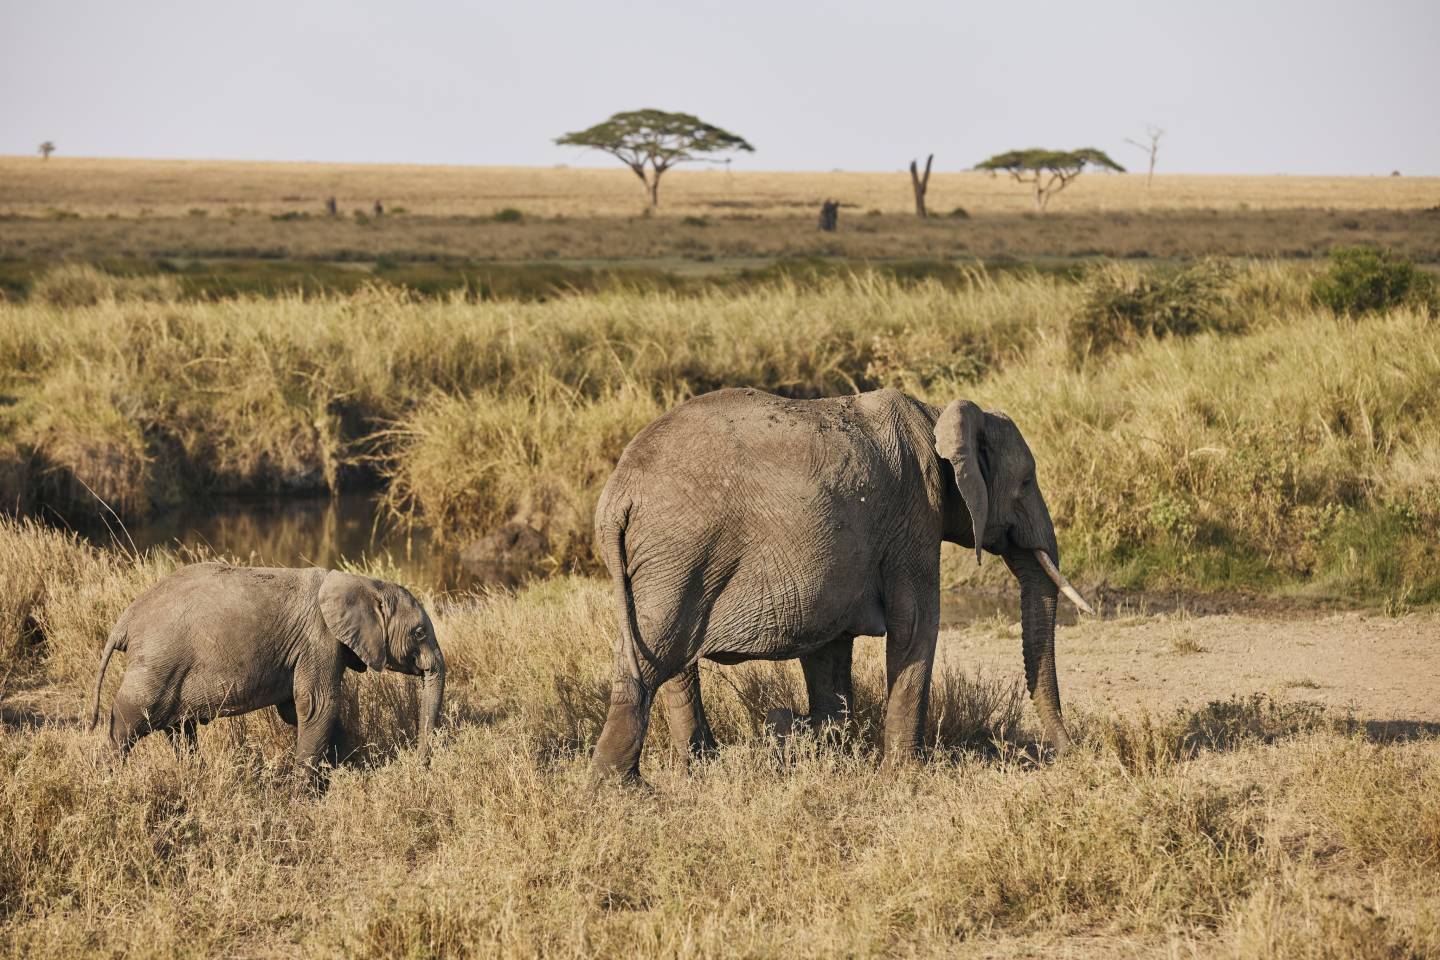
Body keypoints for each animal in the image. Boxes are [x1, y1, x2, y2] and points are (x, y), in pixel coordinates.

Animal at [89, 563, 446, 776]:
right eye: (418, 633)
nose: (420, 766)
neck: (361, 581)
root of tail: (125, 621)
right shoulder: (319, 640)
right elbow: (317, 707)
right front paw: (305, 799)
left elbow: (300, 712)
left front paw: (354, 770)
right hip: (156, 663)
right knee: (128, 722)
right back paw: (108, 781)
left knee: (179, 730)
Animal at [590, 387, 1092, 781]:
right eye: (1026, 481)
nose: (1068, 754)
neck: (938, 413)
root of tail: (617, 494)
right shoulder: (915, 515)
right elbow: (916, 625)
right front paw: (904, 776)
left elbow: (828, 648)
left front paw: (818, 746)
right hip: (678, 552)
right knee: (655, 654)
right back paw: (622, 789)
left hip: (667, 563)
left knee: (669, 657)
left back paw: (700, 766)